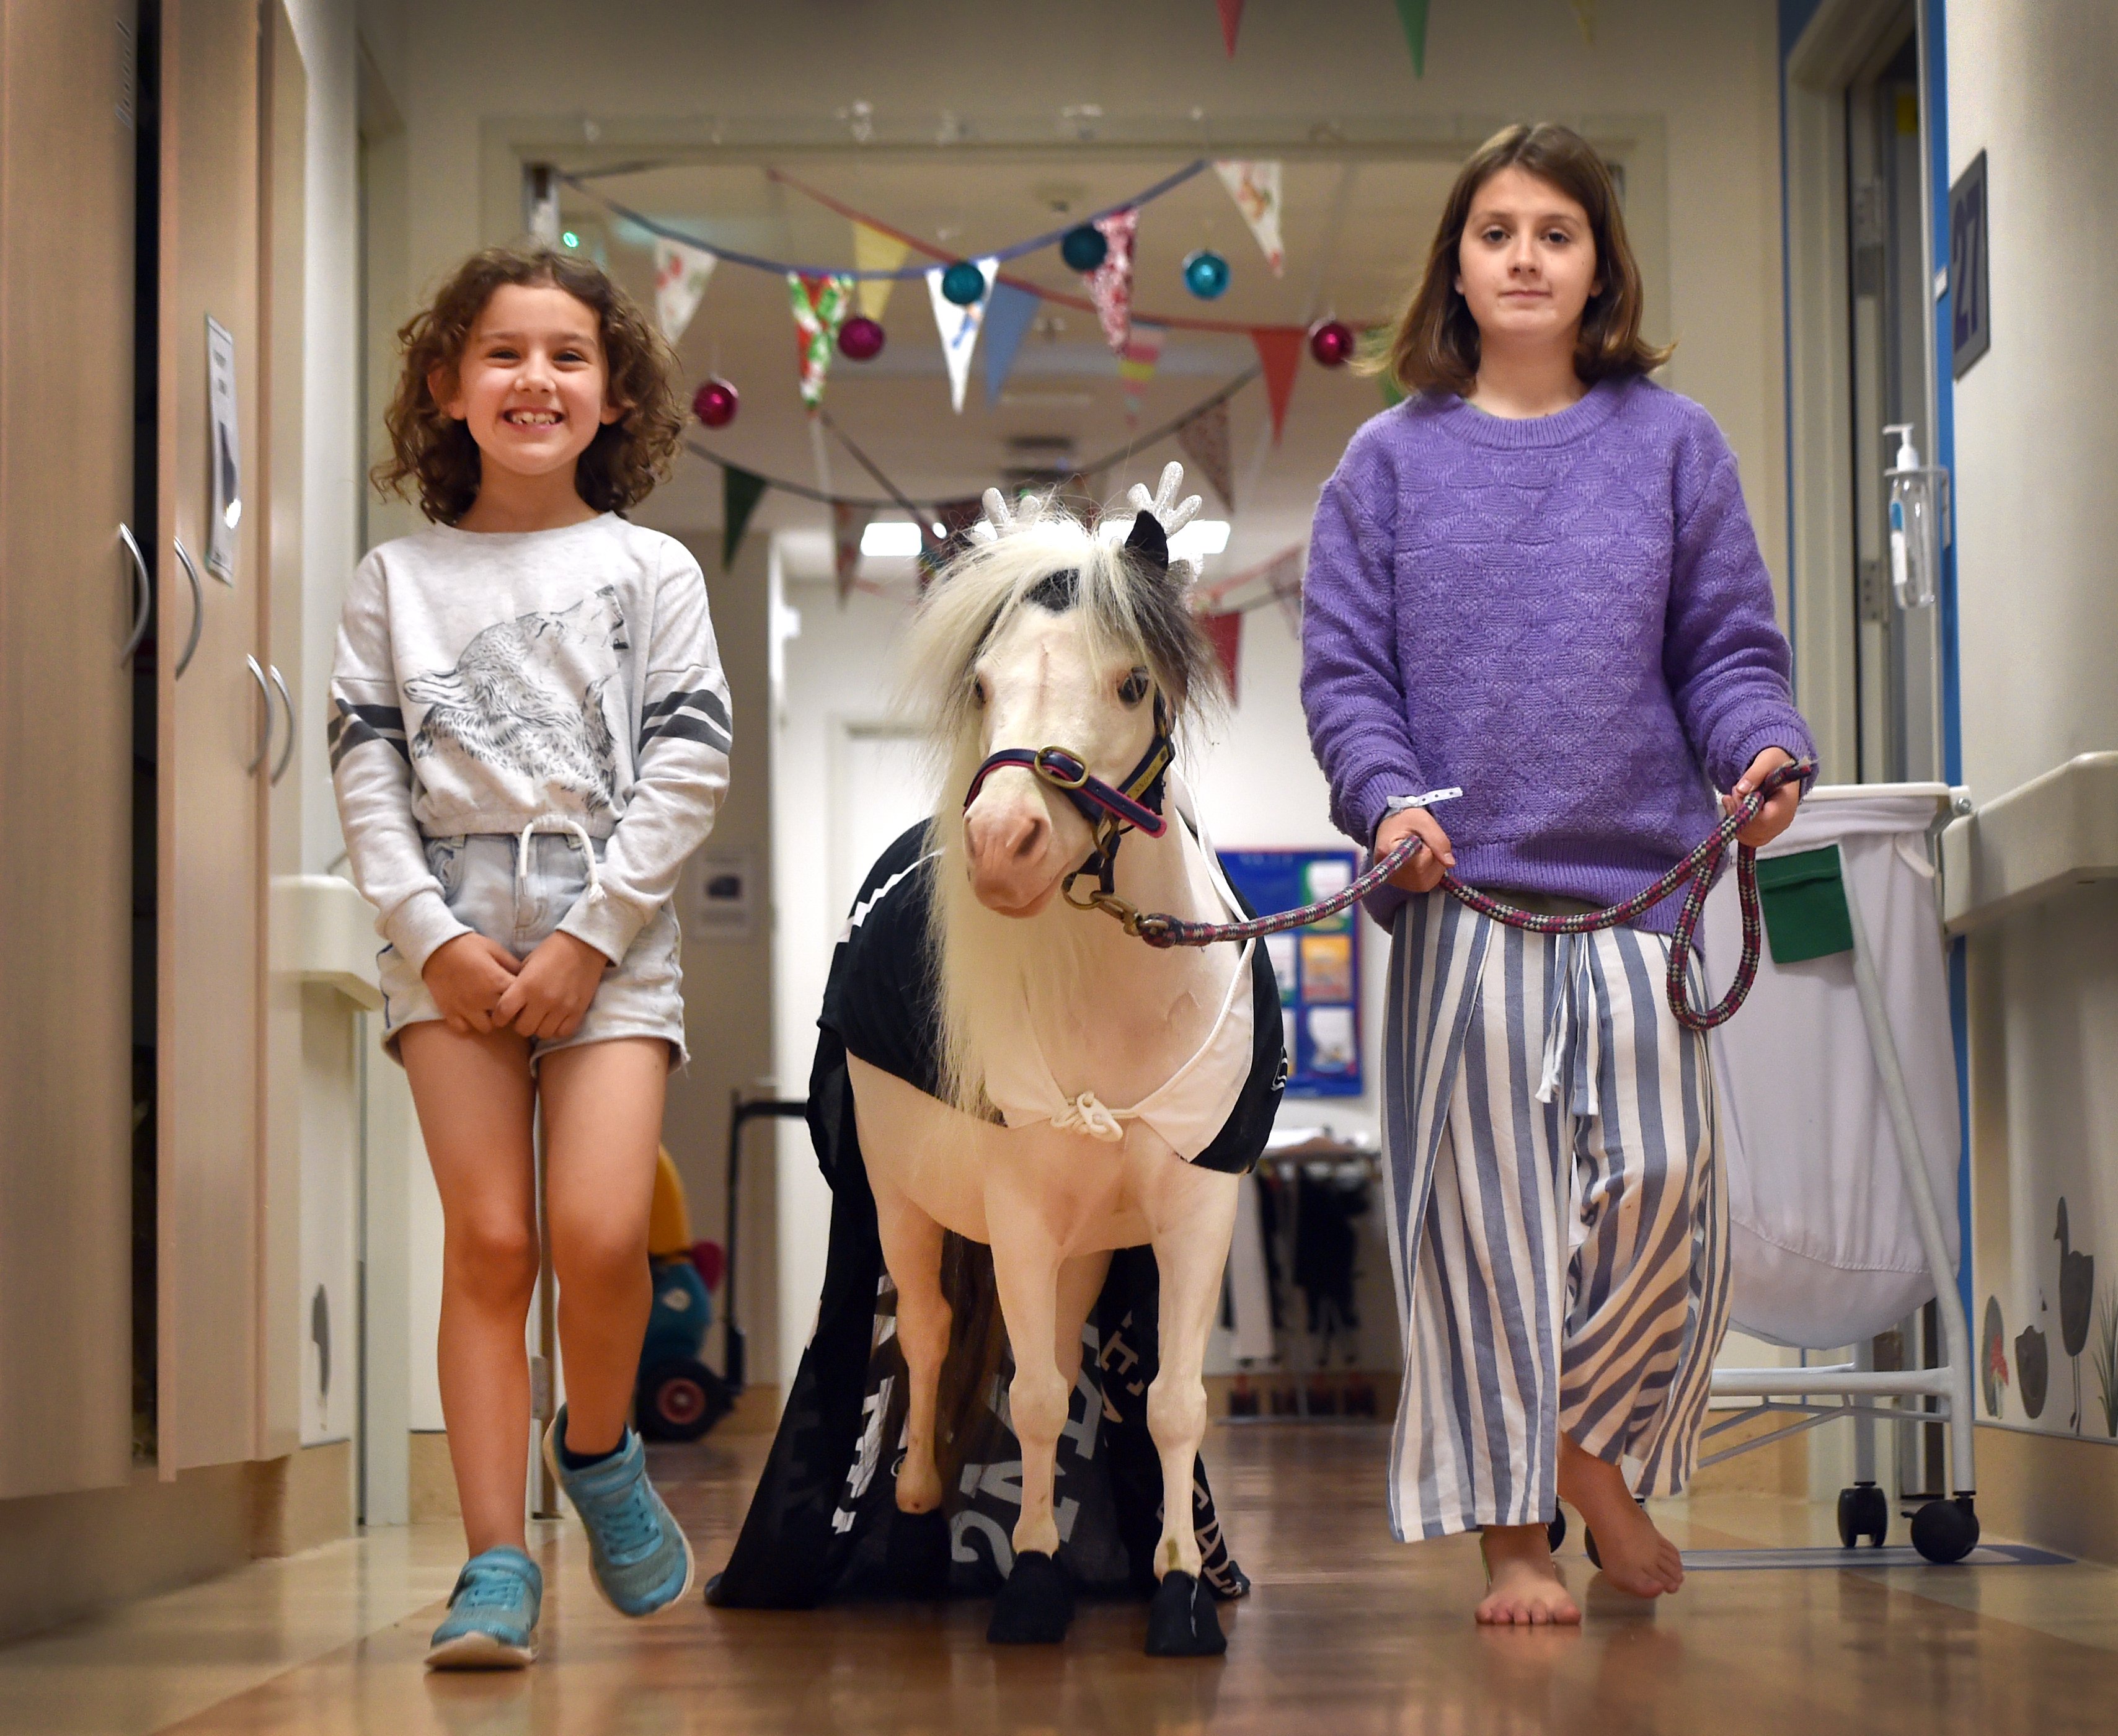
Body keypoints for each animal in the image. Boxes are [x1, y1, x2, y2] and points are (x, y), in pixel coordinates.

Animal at [843, 472, 1254, 1651]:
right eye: (982, 684)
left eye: (1130, 682)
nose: (1003, 845)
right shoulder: (1018, 1211)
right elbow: (1026, 1397)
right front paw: (1029, 1577)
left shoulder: (1194, 1211)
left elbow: (1169, 1402)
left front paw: (1181, 1590)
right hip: (898, 1197)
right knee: (930, 1332)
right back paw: (918, 1508)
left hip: (1085, 1246)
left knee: (1063, 1355)